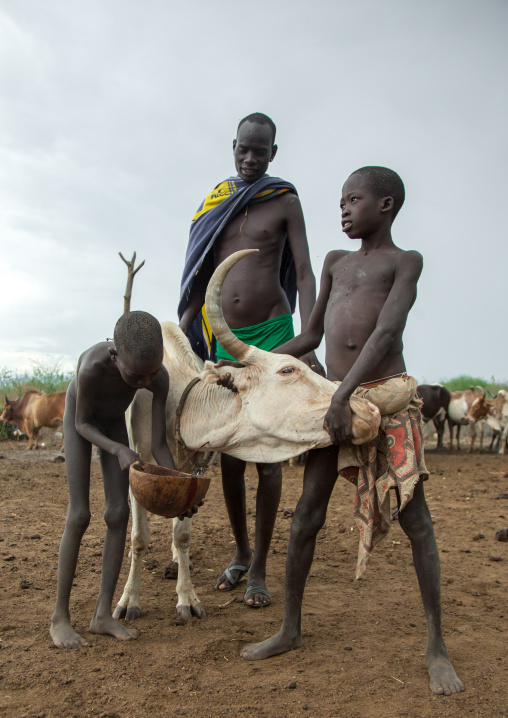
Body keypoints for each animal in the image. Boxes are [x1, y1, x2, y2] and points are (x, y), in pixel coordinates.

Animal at [113, 249, 382, 623]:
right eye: (288, 369)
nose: (370, 412)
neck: (179, 402)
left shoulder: (195, 467)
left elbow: (183, 534)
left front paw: (187, 598)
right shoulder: (139, 459)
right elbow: (139, 537)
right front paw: (129, 600)